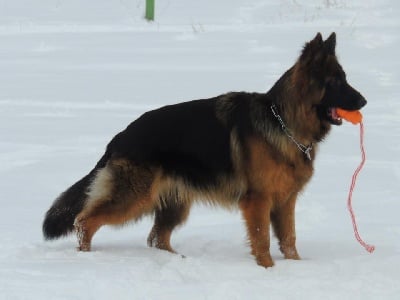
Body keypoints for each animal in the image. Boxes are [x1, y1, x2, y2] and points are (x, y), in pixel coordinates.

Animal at [43, 32, 366, 268]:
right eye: (336, 82)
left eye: (345, 78)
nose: (364, 101)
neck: (283, 120)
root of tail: (119, 137)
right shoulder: (258, 201)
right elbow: (262, 239)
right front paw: (268, 270)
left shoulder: (286, 201)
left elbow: (289, 239)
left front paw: (296, 266)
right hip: (134, 197)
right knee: (84, 221)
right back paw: (87, 257)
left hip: (173, 204)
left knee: (156, 237)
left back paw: (173, 260)